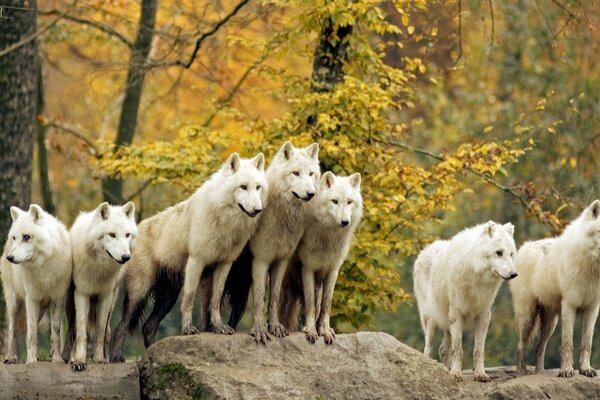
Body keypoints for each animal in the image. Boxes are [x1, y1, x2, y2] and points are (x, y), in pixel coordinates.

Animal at [0, 205, 72, 364]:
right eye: (15, 238)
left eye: (26, 237)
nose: (10, 258)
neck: (43, 267)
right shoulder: (31, 299)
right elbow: (32, 333)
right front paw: (31, 362)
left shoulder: (58, 299)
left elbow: (55, 333)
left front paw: (57, 359)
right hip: (14, 303)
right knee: (11, 329)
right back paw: (11, 357)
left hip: (40, 311)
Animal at [62, 203, 139, 372]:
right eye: (112, 235)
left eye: (127, 235)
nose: (126, 257)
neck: (99, 267)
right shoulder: (81, 293)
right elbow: (81, 332)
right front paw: (79, 360)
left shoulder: (106, 296)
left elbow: (100, 330)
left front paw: (99, 360)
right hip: (70, 303)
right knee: (71, 330)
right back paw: (65, 358)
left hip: (112, 301)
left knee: (107, 331)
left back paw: (107, 357)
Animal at [108, 152, 268, 360]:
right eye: (243, 186)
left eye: (258, 187)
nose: (258, 209)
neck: (225, 220)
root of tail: (131, 233)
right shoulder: (196, 261)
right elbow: (191, 297)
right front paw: (187, 329)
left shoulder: (224, 264)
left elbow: (215, 299)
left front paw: (219, 327)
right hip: (140, 292)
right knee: (121, 326)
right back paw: (117, 358)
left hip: (168, 296)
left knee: (148, 327)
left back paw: (154, 354)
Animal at [412, 222, 516, 382]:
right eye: (499, 252)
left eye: (511, 254)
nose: (514, 274)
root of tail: (425, 249)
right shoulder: (457, 313)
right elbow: (458, 349)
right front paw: (455, 373)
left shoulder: (484, 314)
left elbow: (479, 349)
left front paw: (480, 374)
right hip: (431, 320)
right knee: (427, 348)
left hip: (446, 323)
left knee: (442, 349)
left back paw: (444, 370)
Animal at [508, 200, 600, 378]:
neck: (591, 268)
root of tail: (522, 248)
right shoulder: (569, 306)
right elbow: (567, 344)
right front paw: (567, 371)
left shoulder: (592, 309)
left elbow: (586, 344)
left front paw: (586, 369)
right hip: (528, 316)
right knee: (520, 346)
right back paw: (522, 373)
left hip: (550, 323)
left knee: (539, 347)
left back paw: (539, 372)